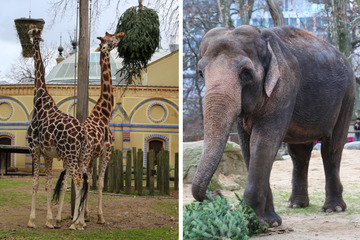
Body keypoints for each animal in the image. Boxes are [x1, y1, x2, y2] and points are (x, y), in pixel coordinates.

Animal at [25, 24, 89, 231]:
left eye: (32, 31)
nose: (29, 36)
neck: (39, 98)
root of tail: (82, 134)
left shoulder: (34, 148)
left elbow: (35, 183)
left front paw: (32, 221)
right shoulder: (48, 153)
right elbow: (47, 183)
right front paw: (49, 220)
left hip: (70, 154)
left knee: (78, 179)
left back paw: (75, 224)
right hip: (80, 155)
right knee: (82, 179)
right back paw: (80, 222)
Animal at [53, 31, 125, 225]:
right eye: (112, 39)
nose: (122, 34)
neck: (104, 113)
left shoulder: (93, 156)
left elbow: (90, 180)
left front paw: (85, 214)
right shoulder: (106, 151)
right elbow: (99, 182)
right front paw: (99, 217)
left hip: (69, 159)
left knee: (67, 180)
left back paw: (59, 218)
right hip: (81, 158)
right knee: (76, 179)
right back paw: (75, 221)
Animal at [193, 25, 356, 228]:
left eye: (246, 73)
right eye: (201, 73)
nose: (217, 193)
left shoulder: (284, 86)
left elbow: (263, 142)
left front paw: (253, 222)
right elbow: (247, 146)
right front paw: (271, 222)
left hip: (347, 95)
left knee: (332, 147)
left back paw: (334, 208)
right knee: (299, 153)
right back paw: (296, 205)